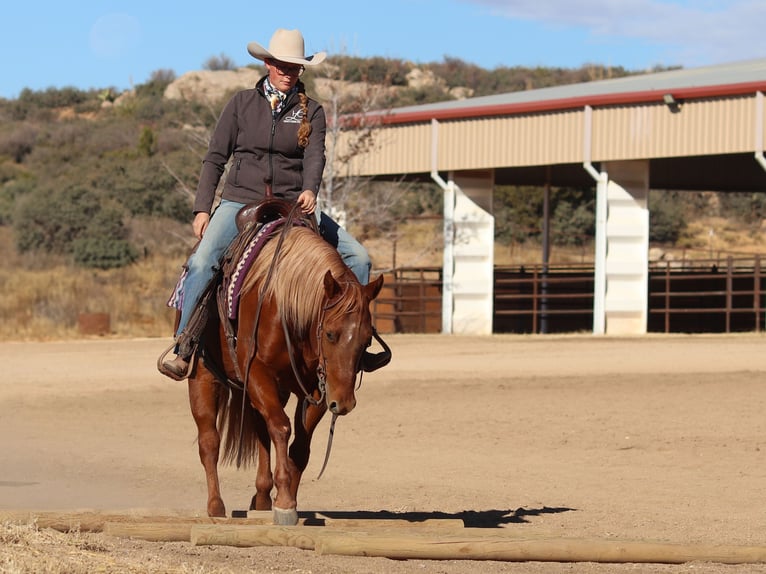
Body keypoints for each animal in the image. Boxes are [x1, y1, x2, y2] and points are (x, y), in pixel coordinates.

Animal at [184, 216, 388, 528]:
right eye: (330, 334)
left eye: (366, 340)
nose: (343, 404)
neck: (284, 306)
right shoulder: (257, 371)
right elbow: (281, 427)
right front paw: (284, 503)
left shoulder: (318, 388)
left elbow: (299, 445)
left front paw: (287, 497)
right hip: (204, 377)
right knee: (209, 441)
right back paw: (216, 506)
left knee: (261, 432)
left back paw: (261, 497)